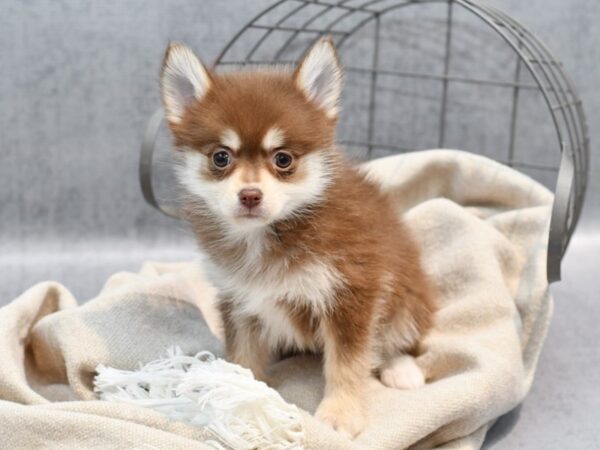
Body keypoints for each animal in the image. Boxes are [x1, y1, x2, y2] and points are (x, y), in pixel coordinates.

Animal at [161, 37, 436, 438]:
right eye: (221, 158)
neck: (270, 234)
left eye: (283, 159)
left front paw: (341, 413)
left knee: (395, 338)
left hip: (409, 299)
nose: (250, 195)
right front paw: (241, 399)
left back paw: (401, 369)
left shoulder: (353, 292)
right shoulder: (239, 299)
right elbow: (243, 358)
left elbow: (348, 362)